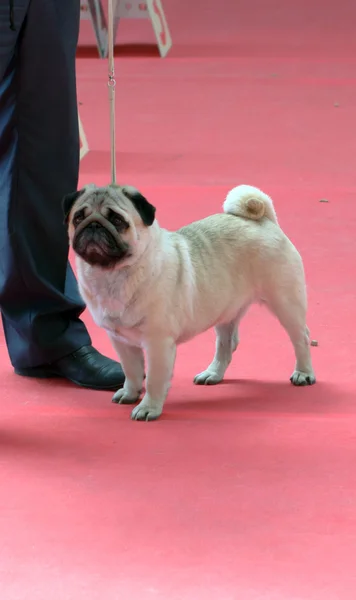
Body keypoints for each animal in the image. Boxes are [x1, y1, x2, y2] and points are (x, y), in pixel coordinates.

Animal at [63, 183, 314, 422]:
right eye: (78, 218)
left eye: (117, 220)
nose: (93, 225)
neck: (112, 274)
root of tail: (263, 221)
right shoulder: (121, 341)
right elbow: (132, 371)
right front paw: (130, 393)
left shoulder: (158, 343)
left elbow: (154, 379)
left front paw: (148, 407)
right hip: (226, 312)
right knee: (226, 345)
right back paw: (213, 373)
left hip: (285, 302)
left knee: (301, 338)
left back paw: (303, 373)